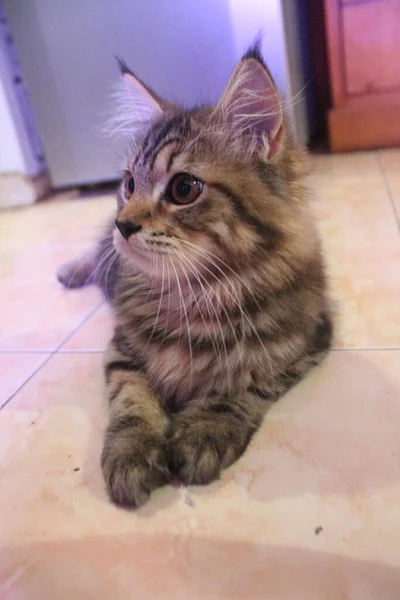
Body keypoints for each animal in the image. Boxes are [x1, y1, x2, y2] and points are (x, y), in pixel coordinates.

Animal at [57, 42, 332, 506]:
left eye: (184, 189)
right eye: (129, 185)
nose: (123, 225)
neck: (196, 294)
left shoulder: (308, 341)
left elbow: (242, 385)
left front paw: (203, 431)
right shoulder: (122, 349)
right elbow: (132, 400)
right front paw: (132, 454)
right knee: (94, 257)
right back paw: (70, 271)